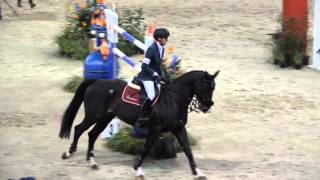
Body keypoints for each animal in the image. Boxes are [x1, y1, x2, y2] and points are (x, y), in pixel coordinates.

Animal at [59, 69, 220, 178]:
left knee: (92, 134)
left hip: (106, 118)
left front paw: (198, 172)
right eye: (206, 87)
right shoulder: (155, 129)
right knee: (79, 129)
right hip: (94, 115)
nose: (207, 107)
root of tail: (96, 81)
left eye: (213, 88)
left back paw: (92, 162)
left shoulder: (179, 129)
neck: (174, 99)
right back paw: (68, 153)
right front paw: (138, 169)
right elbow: (146, 149)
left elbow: (188, 150)